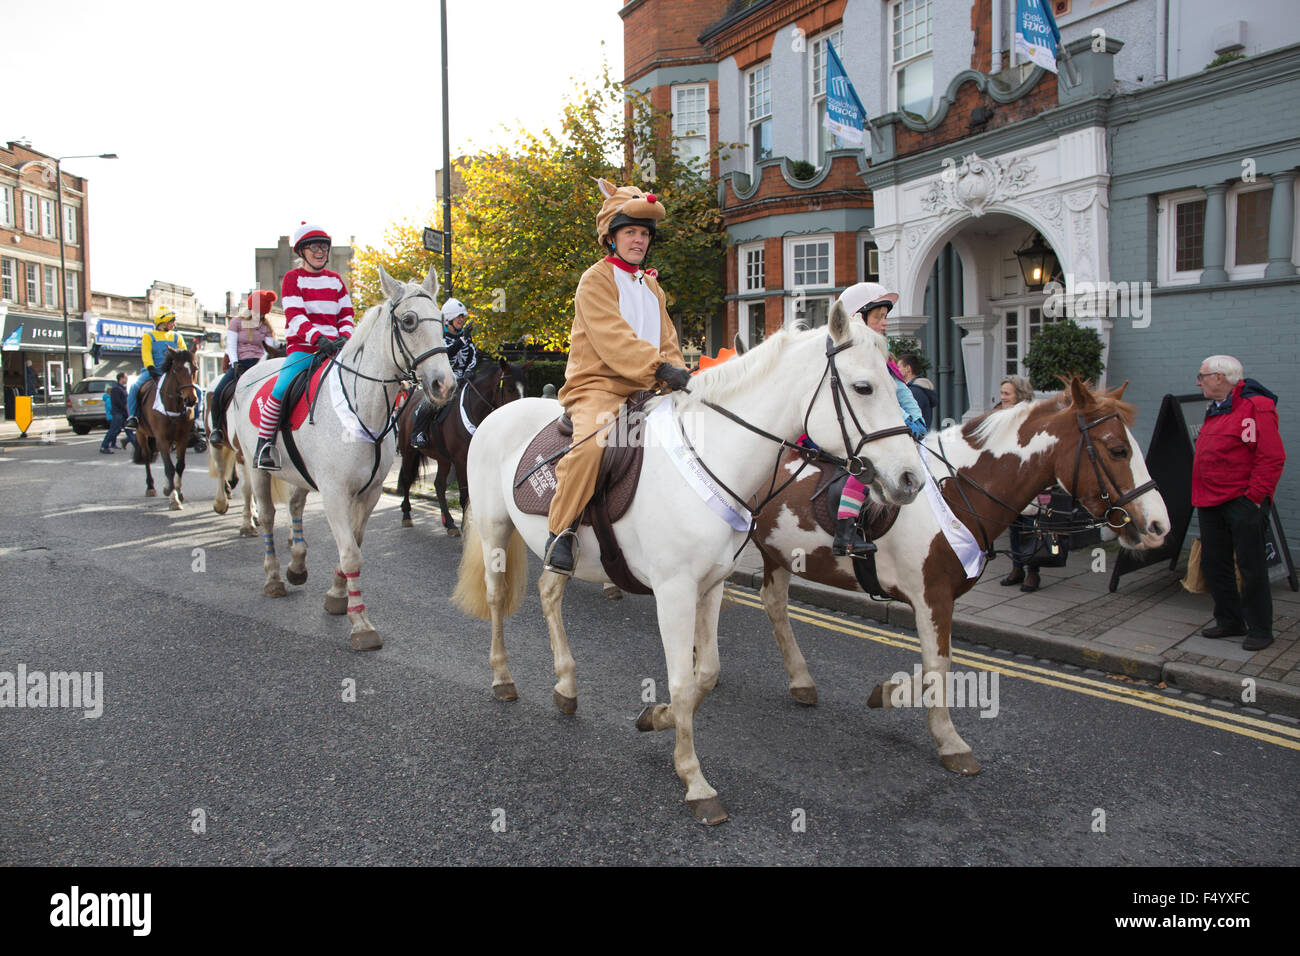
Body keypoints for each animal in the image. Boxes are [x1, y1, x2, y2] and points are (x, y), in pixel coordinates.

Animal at [135, 343, 201, 509]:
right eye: (176, 369)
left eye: (195, 368)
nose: (190, 399)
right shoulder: (162, 438)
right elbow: (170, 468)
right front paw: (174, 498)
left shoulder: (182, 438)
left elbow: (179, 465)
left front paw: (177, 490)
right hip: (141, 434)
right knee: (147, 456)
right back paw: (150, 487)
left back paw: (166, 487)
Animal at [228, 265, 457, 647]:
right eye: (409, 321)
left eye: (441, 321)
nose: (445, 385)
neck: (364, 408)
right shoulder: (335, 492)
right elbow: (350, 553)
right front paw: (360, 623)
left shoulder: (369, 493)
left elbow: (355, 543)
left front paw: (337, 596)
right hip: (257, 468)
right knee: (268, 516)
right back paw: (274, 579)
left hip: (300, 475)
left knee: (295, 507)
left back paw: (297, 566)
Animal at [392, 358, 530, 535]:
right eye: (509, 388)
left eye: (526, 388)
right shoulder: (460, 460)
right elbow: (464, 495)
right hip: (408, 451)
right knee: (407, 478)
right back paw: (407, 515)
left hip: (442, 458)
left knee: (439, 485)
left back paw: (449, 523)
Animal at [457, 300, 925, 822]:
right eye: (864, 387)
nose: (912, 479)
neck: (714, 454)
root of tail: (498, 414)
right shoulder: (674, 591)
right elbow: (682, 682)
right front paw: (694, 780)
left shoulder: (712, 584)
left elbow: (707, 673)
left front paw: (656, 718)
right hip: (496, 531)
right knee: (497, 599)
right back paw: (502, 677)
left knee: (549, 593)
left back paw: (565, 686)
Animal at [748, 377, 1175, 775]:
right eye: (1117, 450)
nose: (1160, 526)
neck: (954, 490)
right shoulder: (932, 597)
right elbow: (939, 667)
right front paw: (950, 742)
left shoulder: (937, 600)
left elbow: (936, 665)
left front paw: (887, 693)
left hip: (775, 555)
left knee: (774, 605)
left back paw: (801, 681)